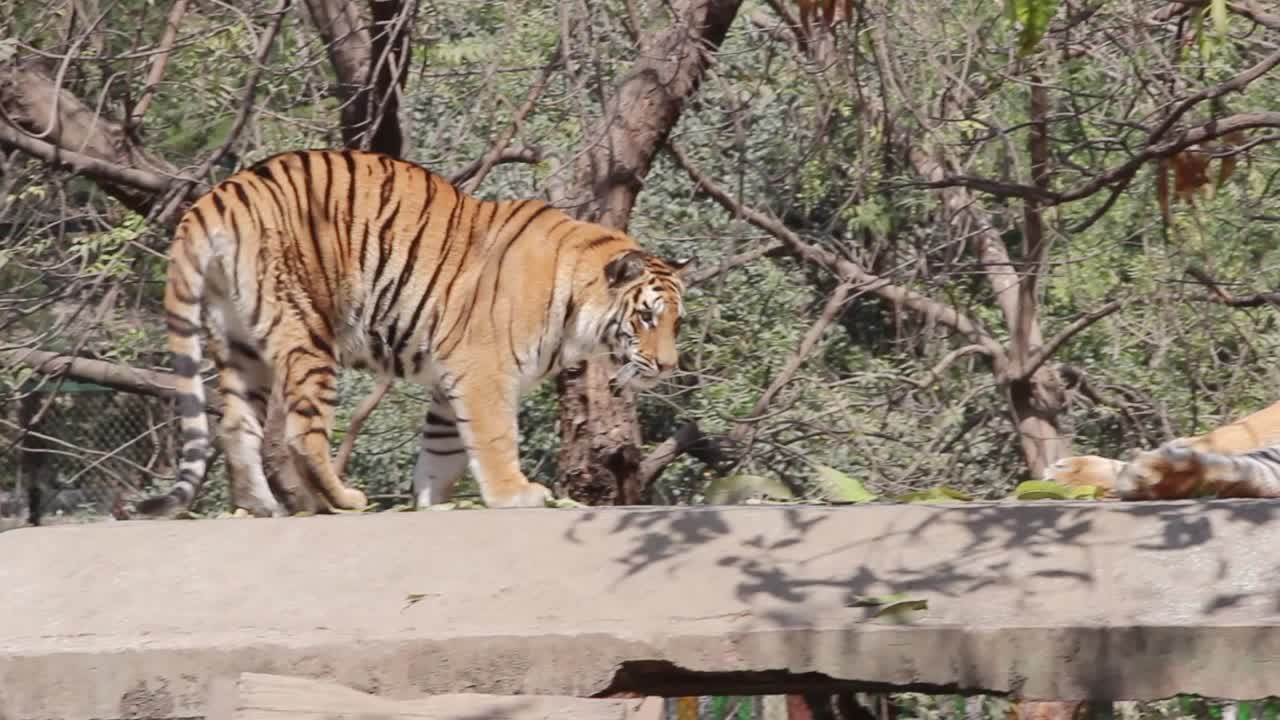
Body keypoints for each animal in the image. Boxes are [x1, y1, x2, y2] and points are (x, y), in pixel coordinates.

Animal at [137, 149, 692, 518]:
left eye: (675, 321)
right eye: (646, 318)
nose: (667, 366)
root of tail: (220, 194)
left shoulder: (450, 381)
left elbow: (442, 452)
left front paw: (430, 503)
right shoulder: (483, 370)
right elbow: (494, 437)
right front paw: (514, 494)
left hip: (237, 340)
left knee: (236, 425)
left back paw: (261, 506)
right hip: (307, 331)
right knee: (300, 432)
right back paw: (343, 499)